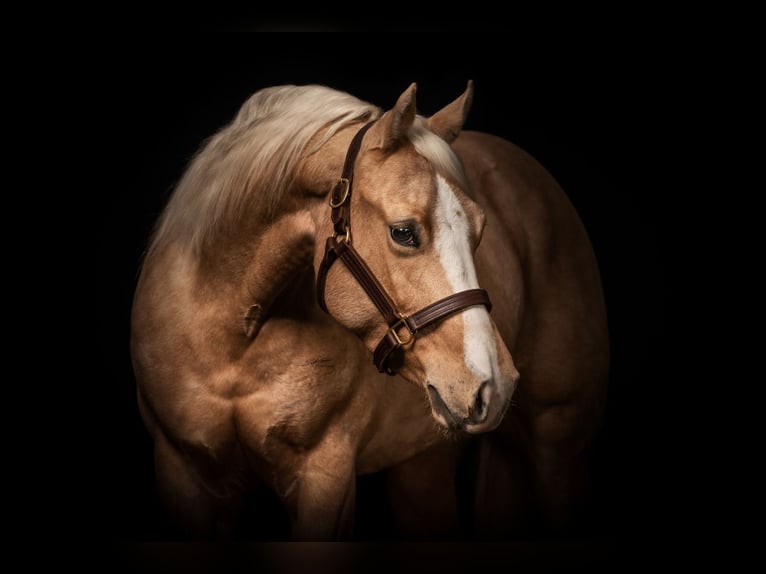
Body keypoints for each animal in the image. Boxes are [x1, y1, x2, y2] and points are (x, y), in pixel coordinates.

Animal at [129, 81, 609, 541]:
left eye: (481, 230)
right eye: (404, 232)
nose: (495, 383)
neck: (235, 338)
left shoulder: (324, 478)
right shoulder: (183, 472)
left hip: (559, 451)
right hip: (423, 469)